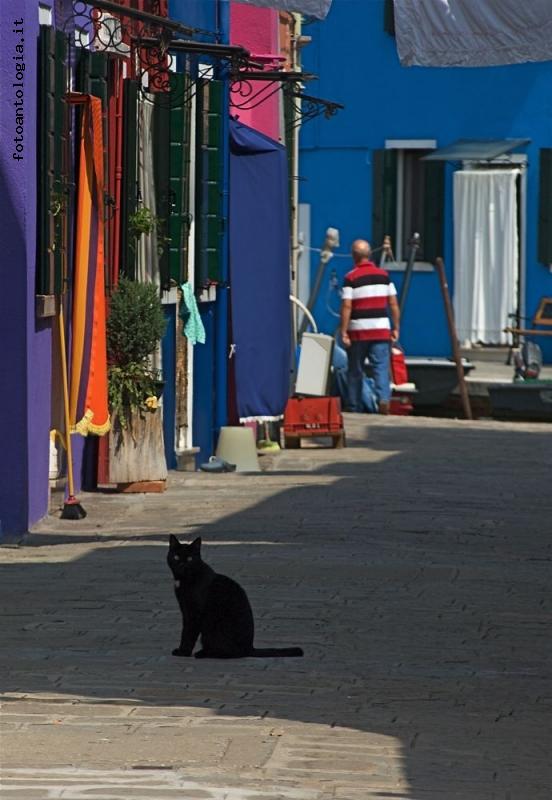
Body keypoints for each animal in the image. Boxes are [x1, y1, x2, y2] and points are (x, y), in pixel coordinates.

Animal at [168, 536, 304, 660]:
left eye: (190, 559)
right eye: (176, 557)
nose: (181, 564)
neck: (184, 580)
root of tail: (249, 648)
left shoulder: (194, 614)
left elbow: (188, 634)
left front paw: (183, 652)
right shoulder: (185, 611)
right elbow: (185, 631)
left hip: (213, 629)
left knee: (230, 653)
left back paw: (202, 654)